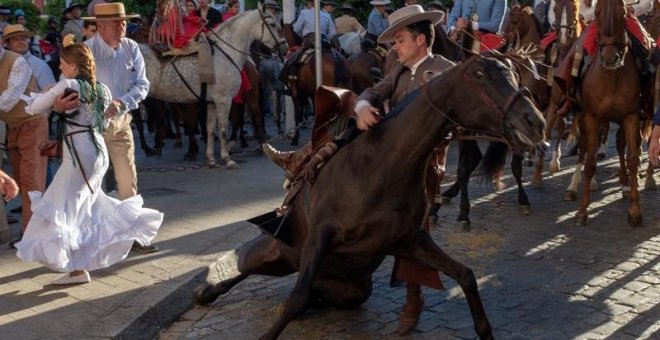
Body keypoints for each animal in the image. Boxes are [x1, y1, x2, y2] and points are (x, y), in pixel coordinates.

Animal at [141, 5, 284, 168]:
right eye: (272, 24)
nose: (284, 46)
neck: (224, 53)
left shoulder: (212, 102)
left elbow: (210, 129)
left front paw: (211, 159)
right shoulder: (223, 100)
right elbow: (221, 128)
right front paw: (226, 158)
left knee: (254, 116)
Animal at [192, 55, 548, 340]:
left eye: (514, 73)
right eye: (478, 74)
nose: (536, 121)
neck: (383, 167)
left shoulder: (411, 241)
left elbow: (467, 276)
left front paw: (484, 330)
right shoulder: (320, 236)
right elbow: (295, 297)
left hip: (349, 289)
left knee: (309, 292)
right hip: (276, 254)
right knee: (247, 269)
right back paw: (207, 292)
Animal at [568, 0, 644, 226]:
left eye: (623, 13)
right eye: (598, 13)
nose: (610, 58)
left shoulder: (631, 116)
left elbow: (632, 158)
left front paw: (634, 210)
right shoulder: (591, 117)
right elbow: (590, 162)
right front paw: (582, 210)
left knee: (619, 145)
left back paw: (625, 182)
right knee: (585, 148)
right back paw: (574, 187)